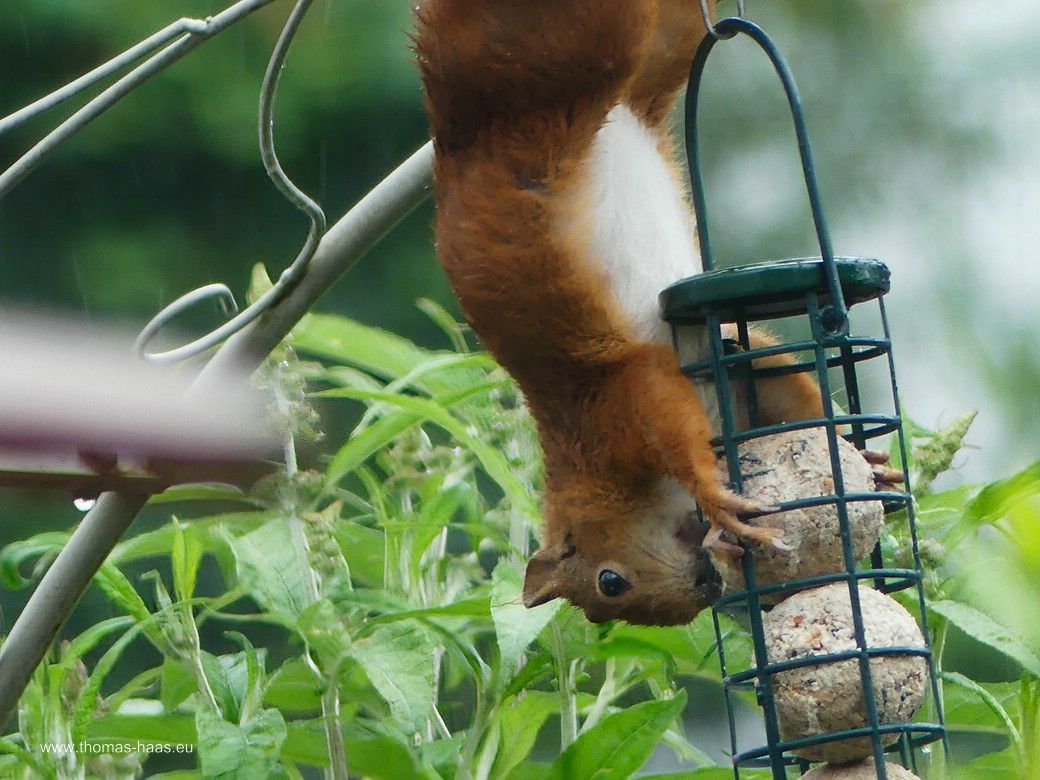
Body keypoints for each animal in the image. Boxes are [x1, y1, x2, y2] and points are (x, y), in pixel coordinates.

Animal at [415, 0, 829, 626]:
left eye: (609, 582)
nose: (704, 587)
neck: (581, 459)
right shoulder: (731, 365)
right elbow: (782, 383)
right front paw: (868, 458)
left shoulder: (615, 401)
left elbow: (668, 419)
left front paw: (714, 497)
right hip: (649, 64)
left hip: (571, 50)